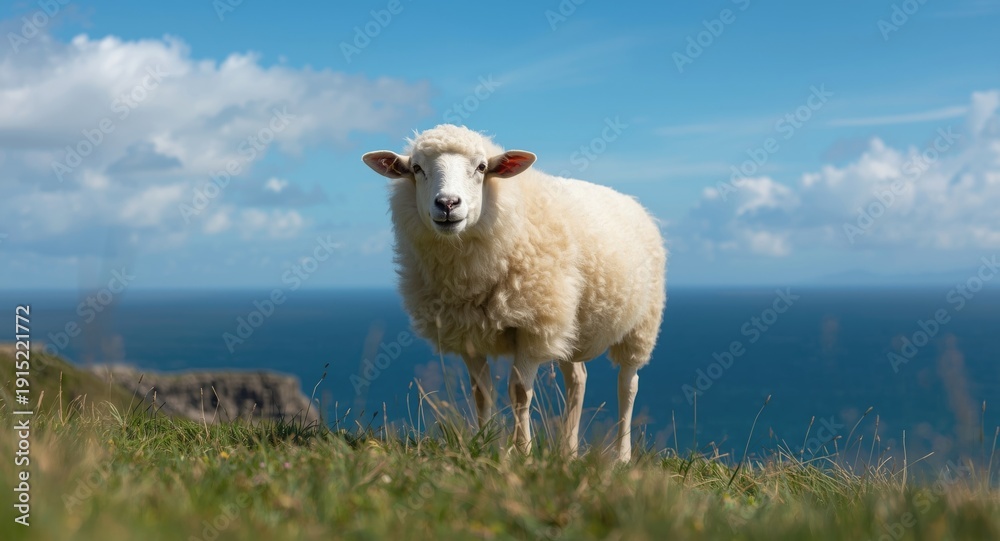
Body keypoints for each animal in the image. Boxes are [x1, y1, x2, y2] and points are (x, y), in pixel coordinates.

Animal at [362, 124, 666, 461]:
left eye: (482, 167)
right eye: (416, 168)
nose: (448, 204)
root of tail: (634, 202)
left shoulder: (532, 327)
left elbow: (519, 392)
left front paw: (524, 453)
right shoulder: (466, 332)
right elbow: (481, 394)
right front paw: (483, 447)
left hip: (641, 325)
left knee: (628, 384)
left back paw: (622, 456)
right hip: (568, 325)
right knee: (577, 379)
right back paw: (568, 452)